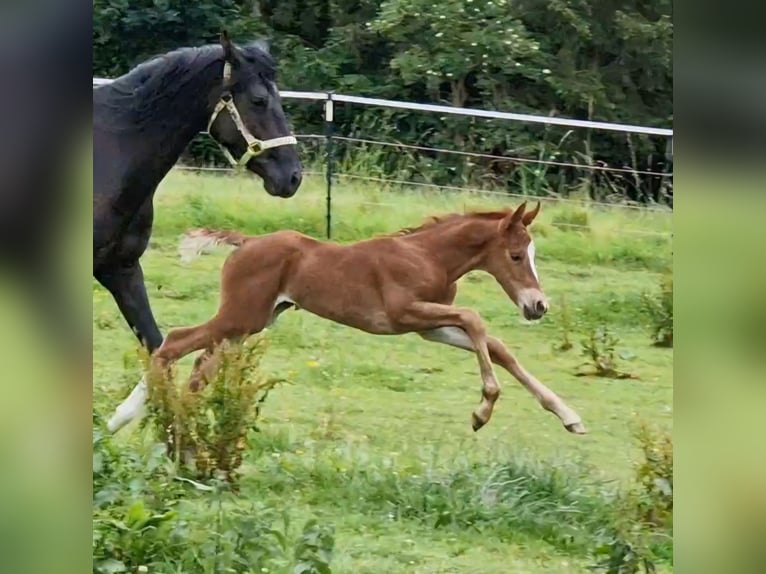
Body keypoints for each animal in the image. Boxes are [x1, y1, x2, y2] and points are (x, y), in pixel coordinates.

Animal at [106, 202, 588, 436]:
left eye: (532, 254)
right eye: (516, 255)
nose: (537, 306)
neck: (427, 255)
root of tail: (246, 242)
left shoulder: (428, 327)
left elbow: (496, 345)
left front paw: (568, 416)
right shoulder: (404, 312)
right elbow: (476, 319)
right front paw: (483, 409)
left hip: (250, 323)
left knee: (200, 366)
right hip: (239, 317)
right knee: (175, 342)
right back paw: (123, 418)